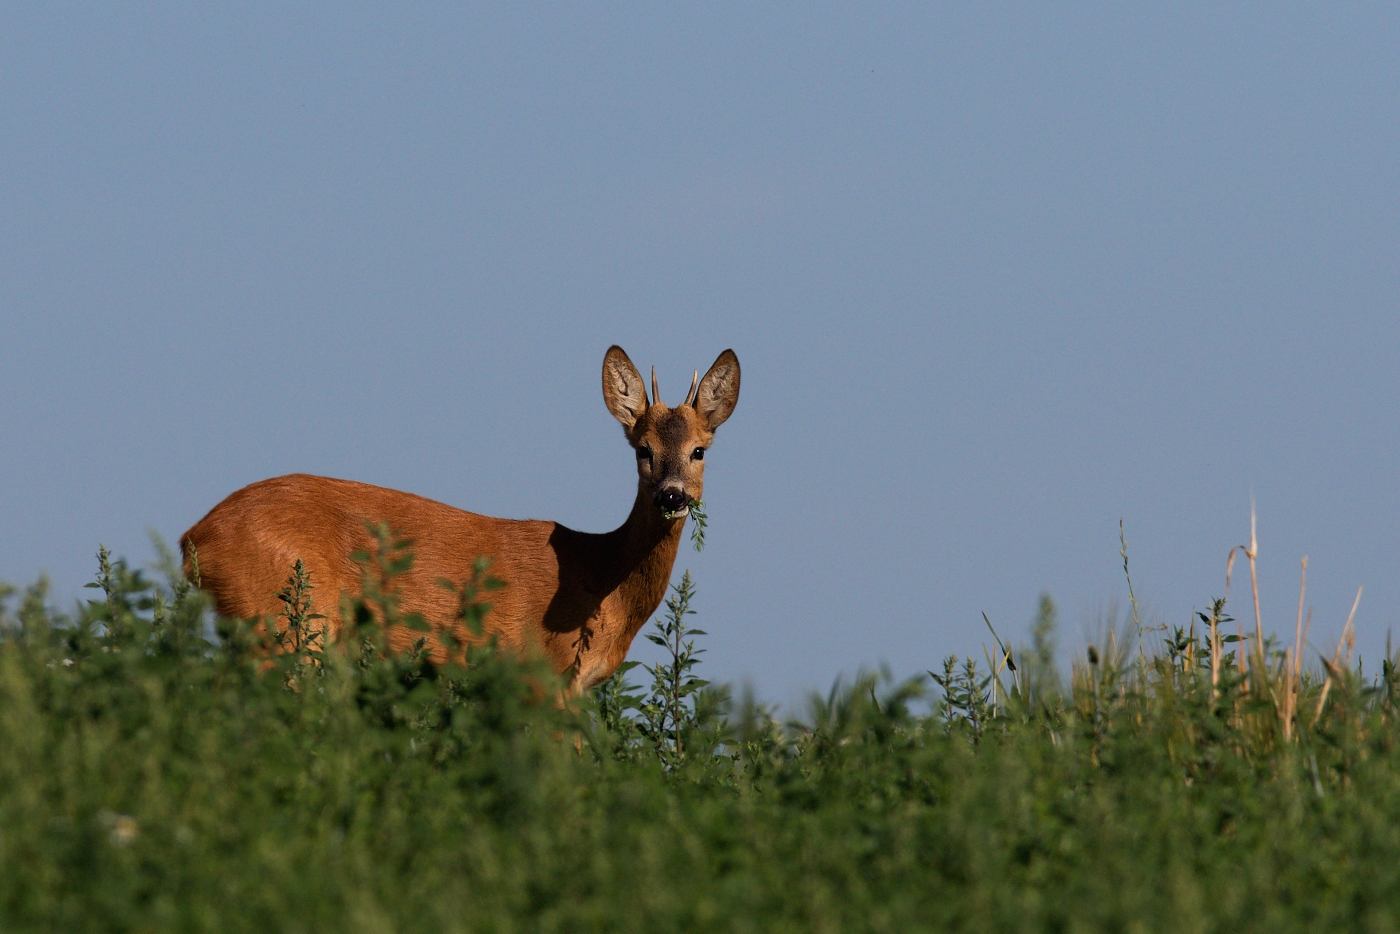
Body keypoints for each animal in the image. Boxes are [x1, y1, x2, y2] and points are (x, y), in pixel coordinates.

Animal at [180, 345, 739, 694]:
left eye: (699, 450)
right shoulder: (544, 673)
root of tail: (194, 539)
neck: (601, 581)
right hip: (283, 622)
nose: (672, 495)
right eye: (642, 449)